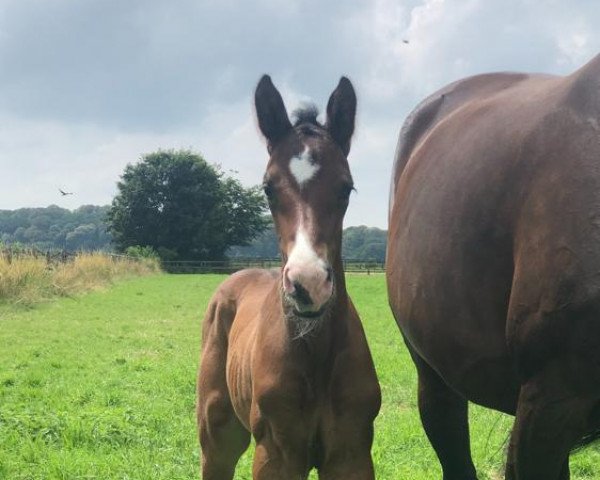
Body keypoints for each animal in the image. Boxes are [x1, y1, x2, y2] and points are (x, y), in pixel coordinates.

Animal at [199, 75, 382, 480]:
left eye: (345, 187)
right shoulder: (276, 454)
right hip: (216, 434)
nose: (308, 285)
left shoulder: (351, 455)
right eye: (268, 188)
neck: (315, 355)